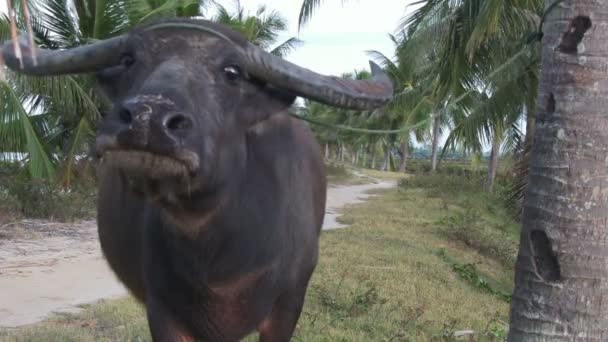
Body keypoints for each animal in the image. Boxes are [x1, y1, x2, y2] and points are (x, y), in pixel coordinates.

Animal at [2, 19, 392, 342]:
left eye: (233, 71)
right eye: (128, 58)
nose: (146, 117)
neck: (216, 253)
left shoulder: (288, 305)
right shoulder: (164, 310)